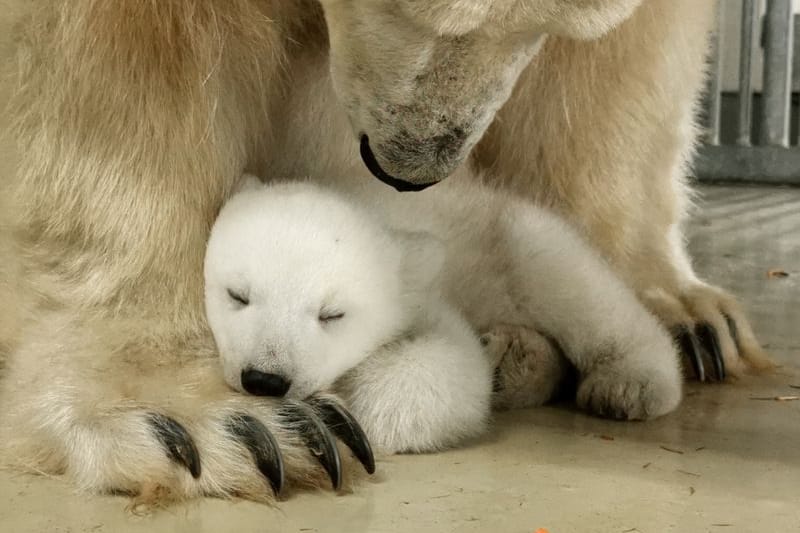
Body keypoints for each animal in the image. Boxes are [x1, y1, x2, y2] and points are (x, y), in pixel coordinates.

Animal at [1, 0, 768, 502]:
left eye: (333, 315)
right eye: (235, 294)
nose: (409, 167)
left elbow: (632, 55)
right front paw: (220, 426)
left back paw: (627, 362)